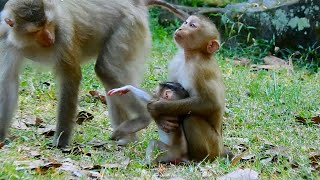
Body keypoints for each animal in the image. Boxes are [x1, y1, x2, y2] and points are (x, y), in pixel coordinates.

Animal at [0, 0, 189, 146]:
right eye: (36, 30)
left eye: (48, 24)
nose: (49, 38)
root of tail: (135, 3)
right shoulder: (4, 39)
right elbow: (8, 82)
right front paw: (1, 137)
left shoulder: (63, 34)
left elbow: (71, 77)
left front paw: (60, 143)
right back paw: (128, 139)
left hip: (128, 26)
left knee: (106, 70)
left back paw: (142, 118)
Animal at [148, 15, 232, 162]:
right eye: (186, 22)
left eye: (192, 26)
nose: (181, 28)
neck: (190, 56)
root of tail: (221, 148)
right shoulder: (176, 62)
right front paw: (158, 117)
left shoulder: (200, 69)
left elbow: (211, 104)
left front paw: (158, 108)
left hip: (213, 145)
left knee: (191, 118)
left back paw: (198, 159)